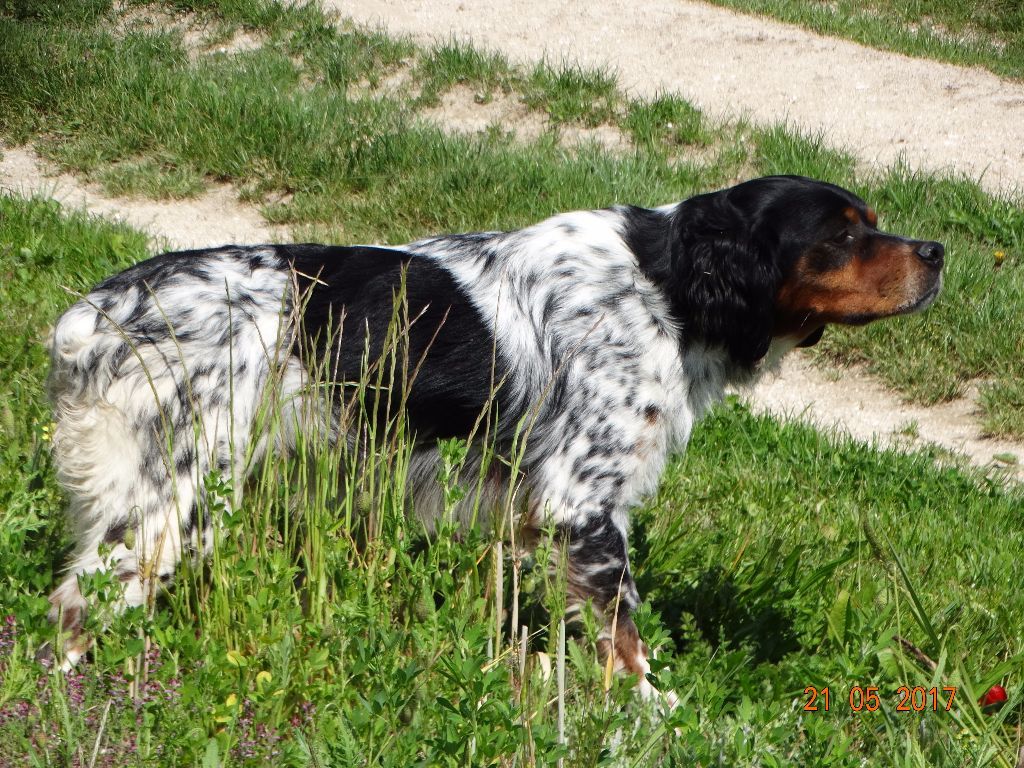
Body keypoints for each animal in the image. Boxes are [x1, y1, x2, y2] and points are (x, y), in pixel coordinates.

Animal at [46, 176, 942, 696]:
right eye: (844, 234)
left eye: (874, 222)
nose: (937, 251)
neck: (664, 285)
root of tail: (100, 311)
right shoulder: (584, 502)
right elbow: (625, 642)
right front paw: (655, 714)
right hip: (175, 502)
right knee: (76, 609)